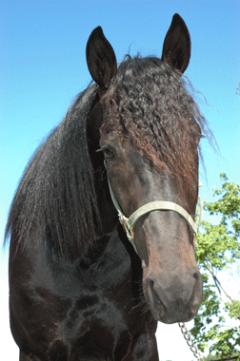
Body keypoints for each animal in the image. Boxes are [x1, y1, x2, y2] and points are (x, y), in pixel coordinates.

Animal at [5, 14, 204, 360]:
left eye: (195, 138)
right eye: (108, 151)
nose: (176, 289)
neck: (83, 263)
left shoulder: (141, 343)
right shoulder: (34, 351)